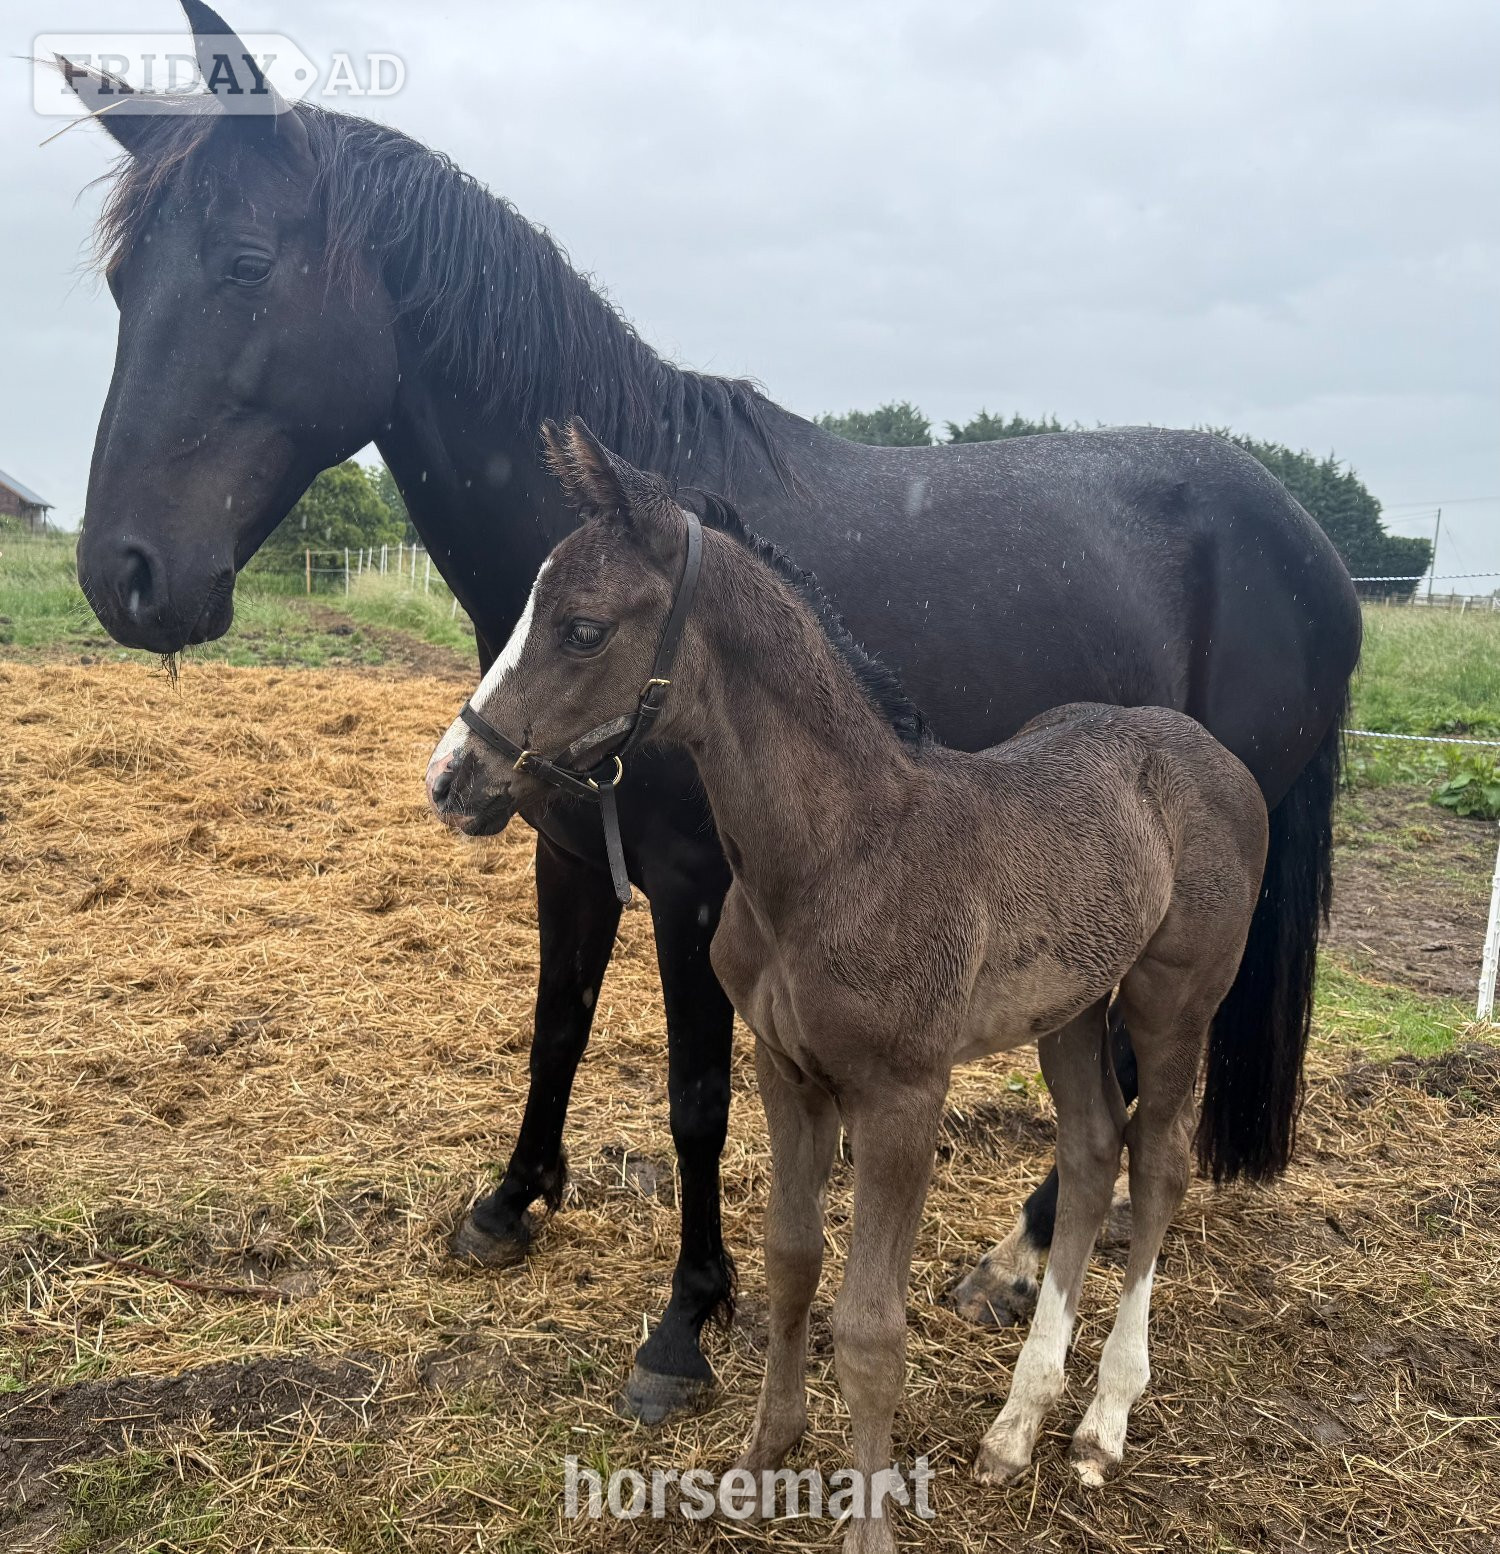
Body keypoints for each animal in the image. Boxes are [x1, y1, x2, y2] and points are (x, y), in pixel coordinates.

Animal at [63, 2, 1359, 1423]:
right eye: (122, 286)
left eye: (244, 262)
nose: (125, 574)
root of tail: (1307, 540)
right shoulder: (572, 858)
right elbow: (555, 1029)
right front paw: (511, 1205)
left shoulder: (693, 890)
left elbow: (695, 1098)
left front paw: (685, 1318)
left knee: (1125, 1086)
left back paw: (1013, 1264)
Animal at [426, 421, 1269, 1552]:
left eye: (584, 629)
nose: (452, 779)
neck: (842, 850)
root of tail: (1212, 752)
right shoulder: (787, 1073)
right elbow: (791, 1263)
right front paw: (759, 1459)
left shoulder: (903, 1096)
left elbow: (871, 1328)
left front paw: (867, 1524)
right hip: (1071, 1008)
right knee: (1093, 1151)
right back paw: (1015, 1425)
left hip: (1174, 998)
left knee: (1161, 1161)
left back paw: (1100, 1426)